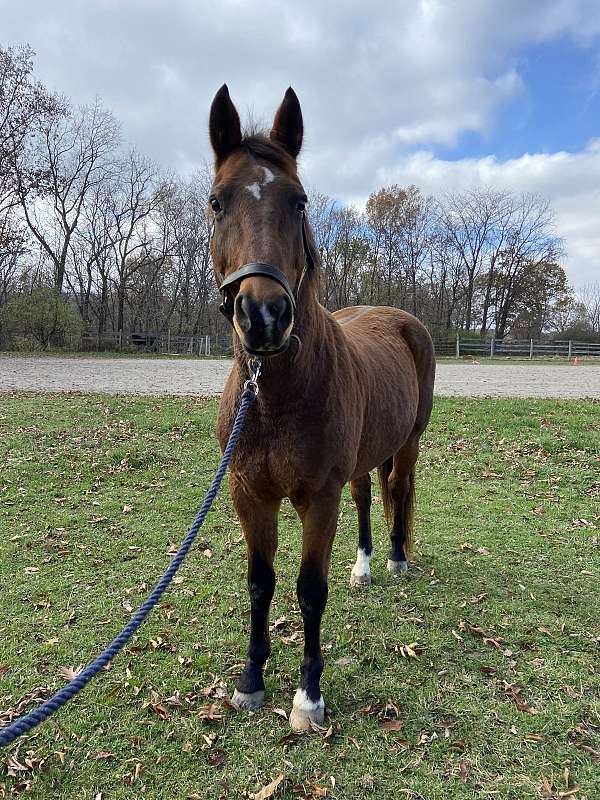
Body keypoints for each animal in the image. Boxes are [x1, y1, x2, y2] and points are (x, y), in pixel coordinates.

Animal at [209, 86, 434, 732]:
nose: (263, 316)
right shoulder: (249, 494)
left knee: (398, 490)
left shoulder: (318, 498)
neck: (276, 396)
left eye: (300, 201)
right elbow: (260, 583)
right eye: (217, 202)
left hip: (409, 442)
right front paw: (251, 681)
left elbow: (310, 590)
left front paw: (308, 697)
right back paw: (363, 566)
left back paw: (394, 560)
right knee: (366, 495)